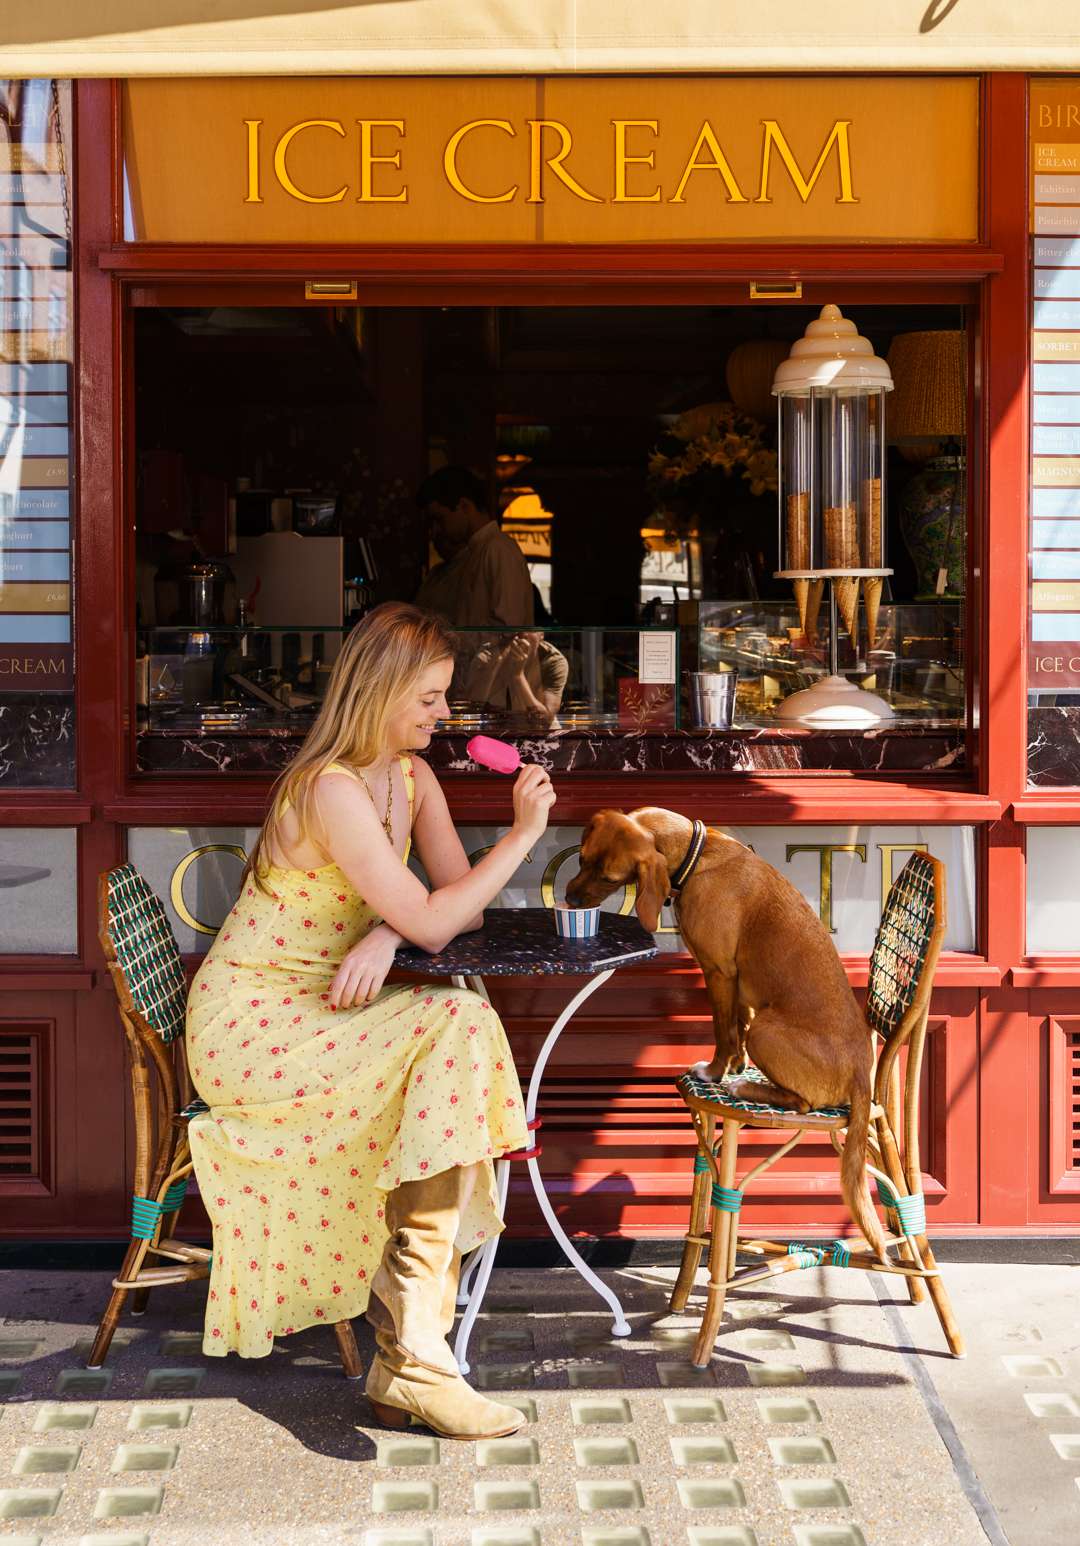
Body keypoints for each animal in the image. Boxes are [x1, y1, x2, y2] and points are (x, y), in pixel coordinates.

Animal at [565, 810, 889, 1255]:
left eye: (610, 876)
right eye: (581, 858)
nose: (569, 899)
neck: (696, 855)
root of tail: (862, 1072)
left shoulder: (718, 971)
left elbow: (723, 1030)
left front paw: (717, 1073)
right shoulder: (740, 986)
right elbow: (736, 1027)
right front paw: (735, 1066)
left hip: (767, 1031)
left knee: (803, 1103)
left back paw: (746, 1088)